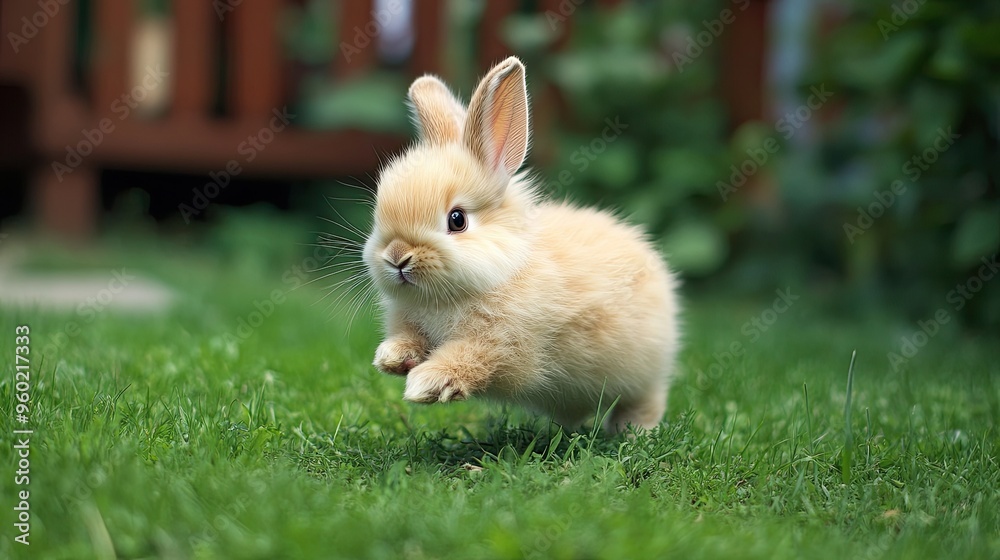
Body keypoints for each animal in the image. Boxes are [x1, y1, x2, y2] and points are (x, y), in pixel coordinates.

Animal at [362, 56, 680, 433]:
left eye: (457, 220)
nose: (397, 257)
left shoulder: (503, 344)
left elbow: (472, 356)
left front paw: (427, 383)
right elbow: (410, 339)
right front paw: (391, 358)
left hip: (643, 379)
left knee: (647, 401)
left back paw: (633, 431)